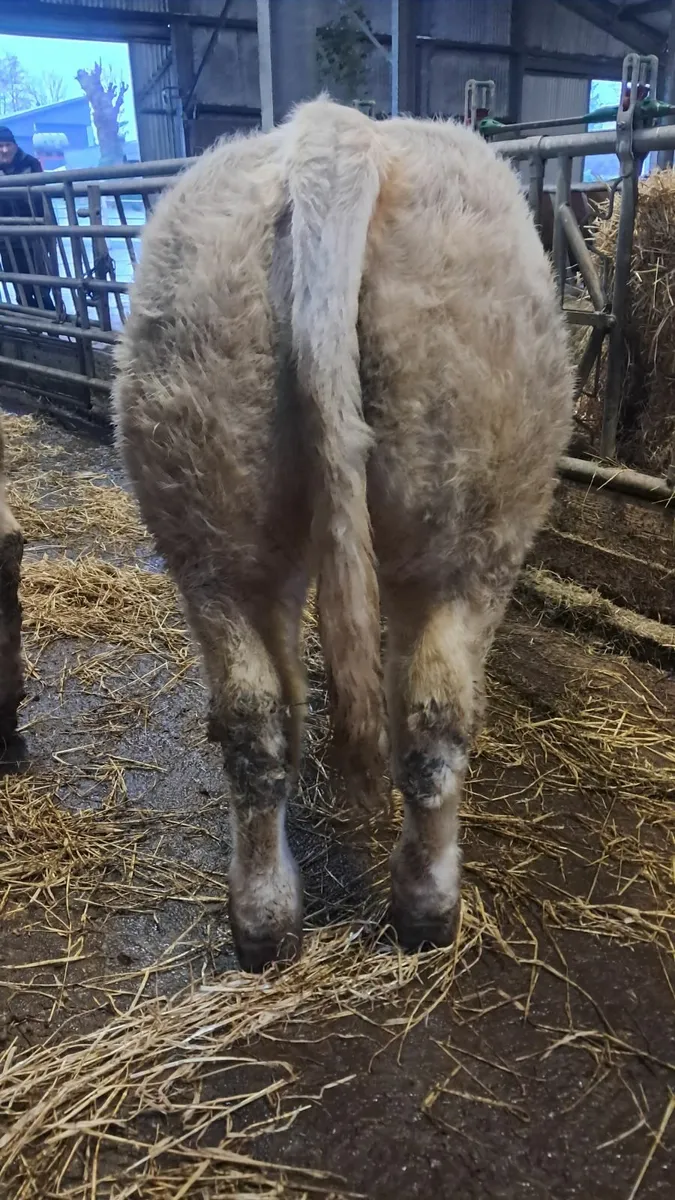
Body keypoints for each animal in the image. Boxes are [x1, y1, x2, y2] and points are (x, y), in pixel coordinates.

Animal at [113, 99, 574, 972]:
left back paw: (266, 921)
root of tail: (334, 134)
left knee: (259, 716)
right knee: (432, 709)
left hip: (215, 527)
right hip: (474, 536)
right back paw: (426, 906)